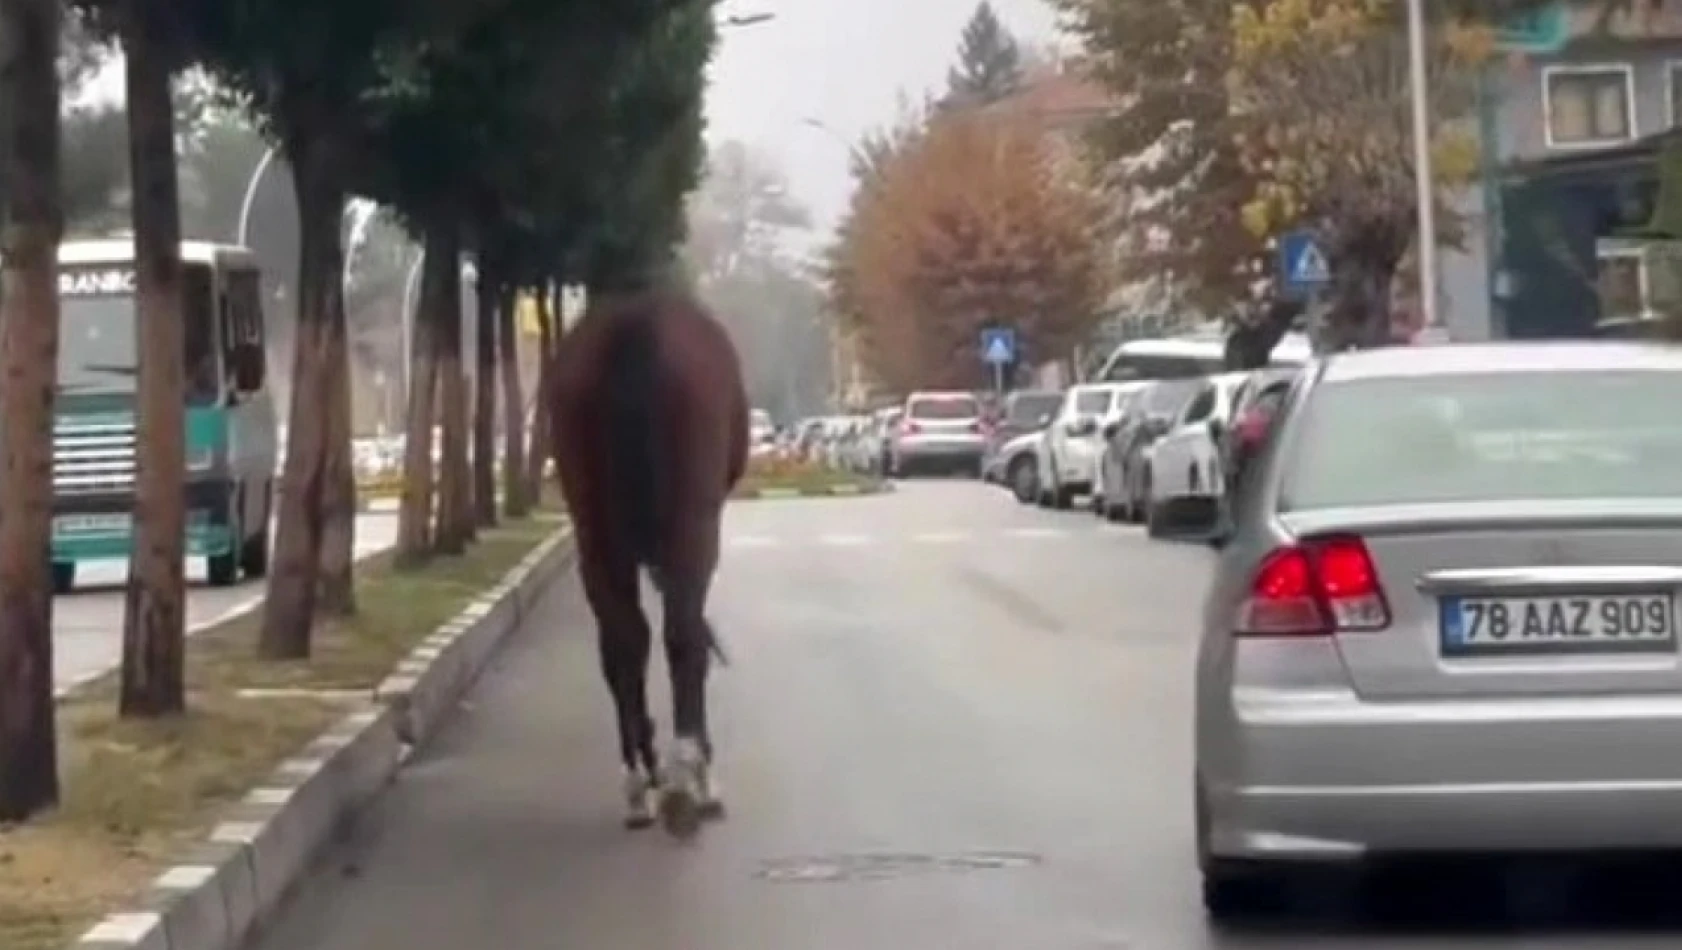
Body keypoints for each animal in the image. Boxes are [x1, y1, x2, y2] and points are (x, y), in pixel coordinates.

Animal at [548, 285, 746, 833]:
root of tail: (632, 330)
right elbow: (693, 633)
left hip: (595, 536)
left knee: (622, 643)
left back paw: (642, 783)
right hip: (691, 526)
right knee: (682, 635)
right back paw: (691, 778)